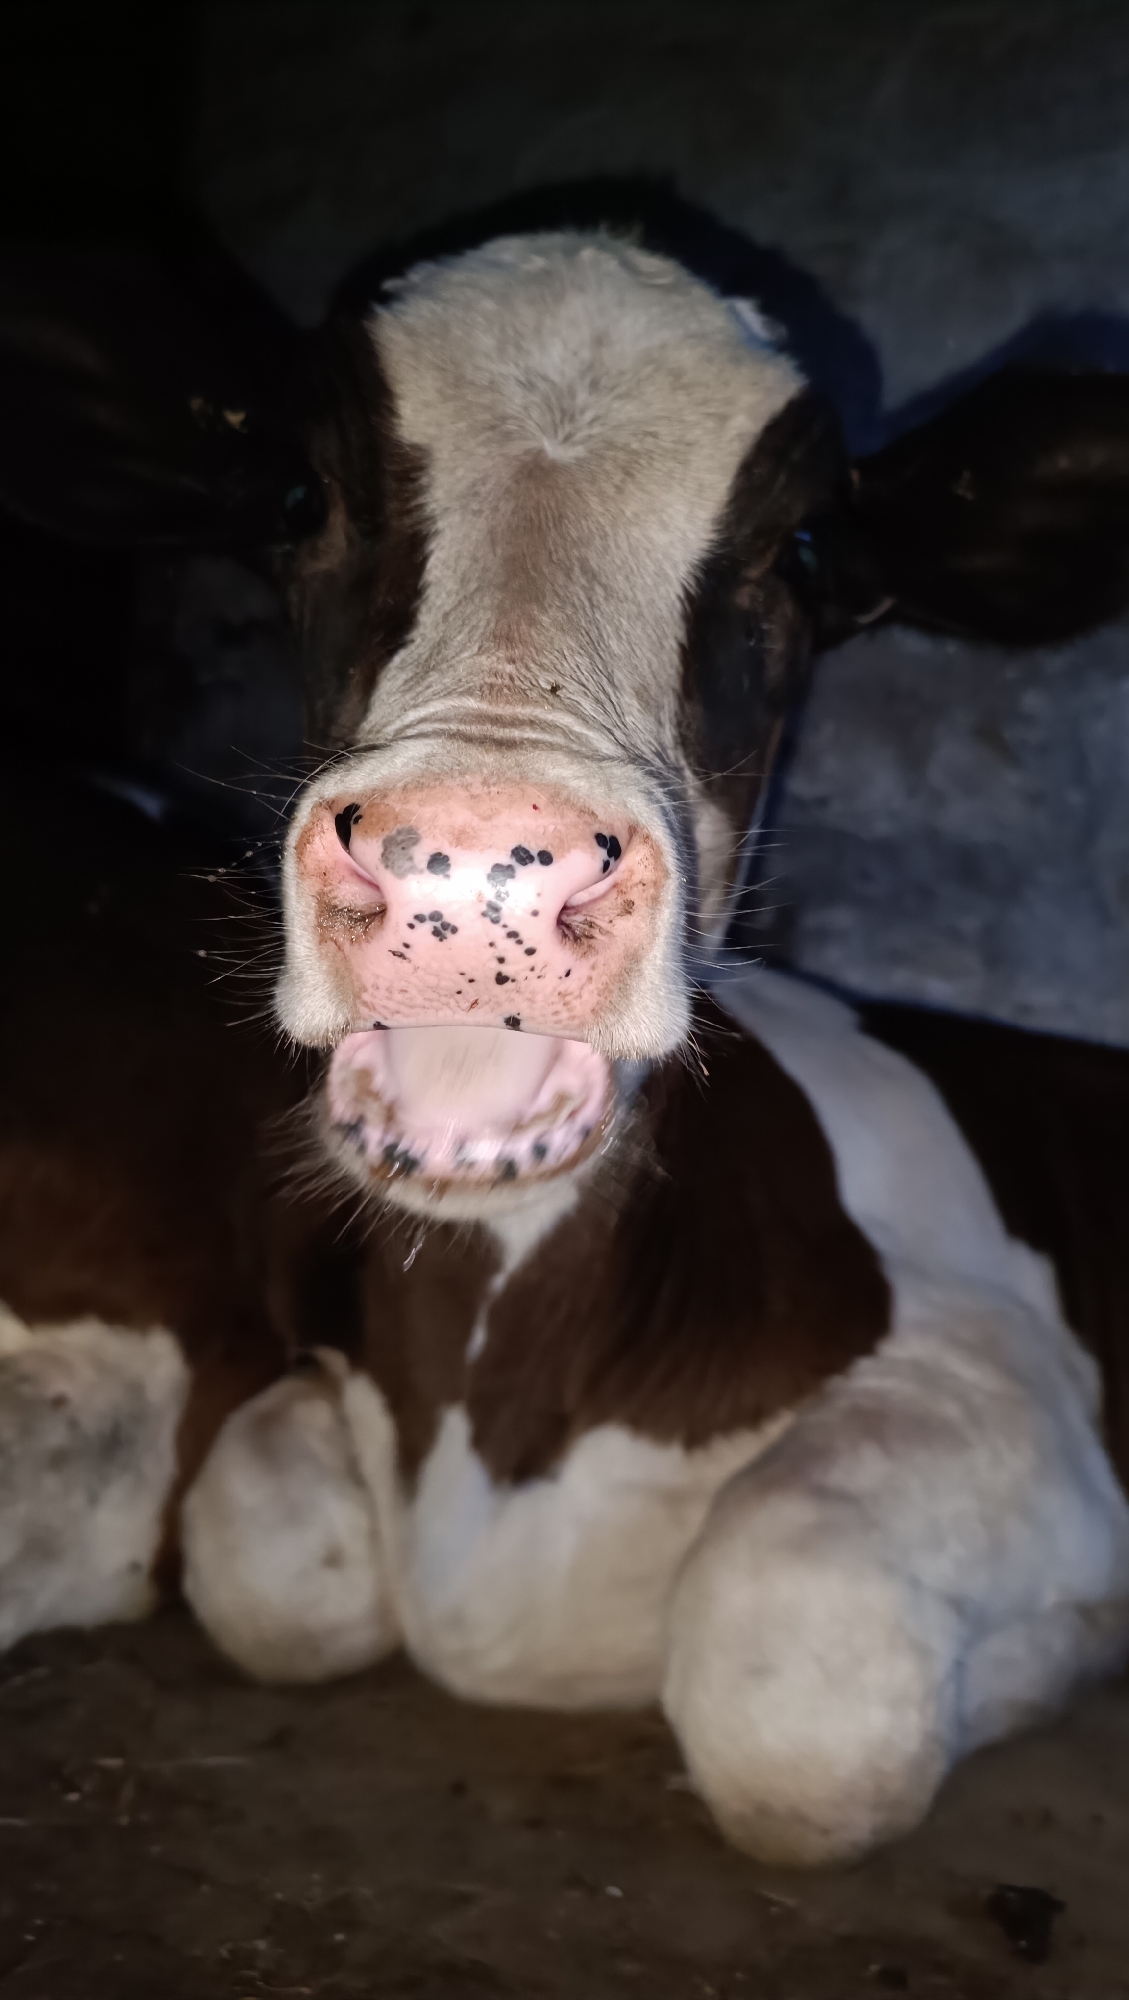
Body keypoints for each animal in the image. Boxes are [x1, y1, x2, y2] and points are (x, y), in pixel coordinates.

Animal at [4, 219, 1129, 1867]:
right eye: (301, 493)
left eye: (803, 553)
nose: (478, 859)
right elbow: (261, 1553)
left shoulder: (997, 1372)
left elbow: (797, 1699)